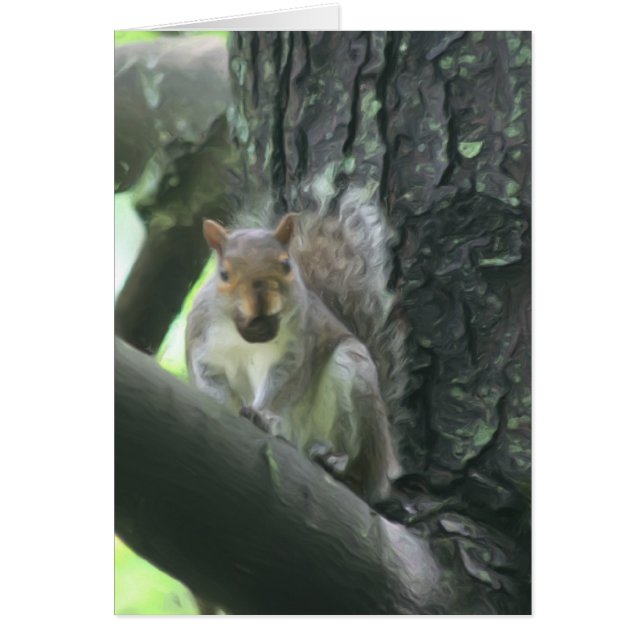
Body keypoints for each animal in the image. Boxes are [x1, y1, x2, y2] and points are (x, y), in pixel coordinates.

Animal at [185, 190, 405, 504]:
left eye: (286, 265)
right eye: (224, 274)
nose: (261, 309)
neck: (246, 338)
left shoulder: (296, 350)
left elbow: (284, 384)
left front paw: (261, 415)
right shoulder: (201, 344)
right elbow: (208, 379)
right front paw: (218, 403)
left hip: (354, 375)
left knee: (364, 472)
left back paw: (340, 464)